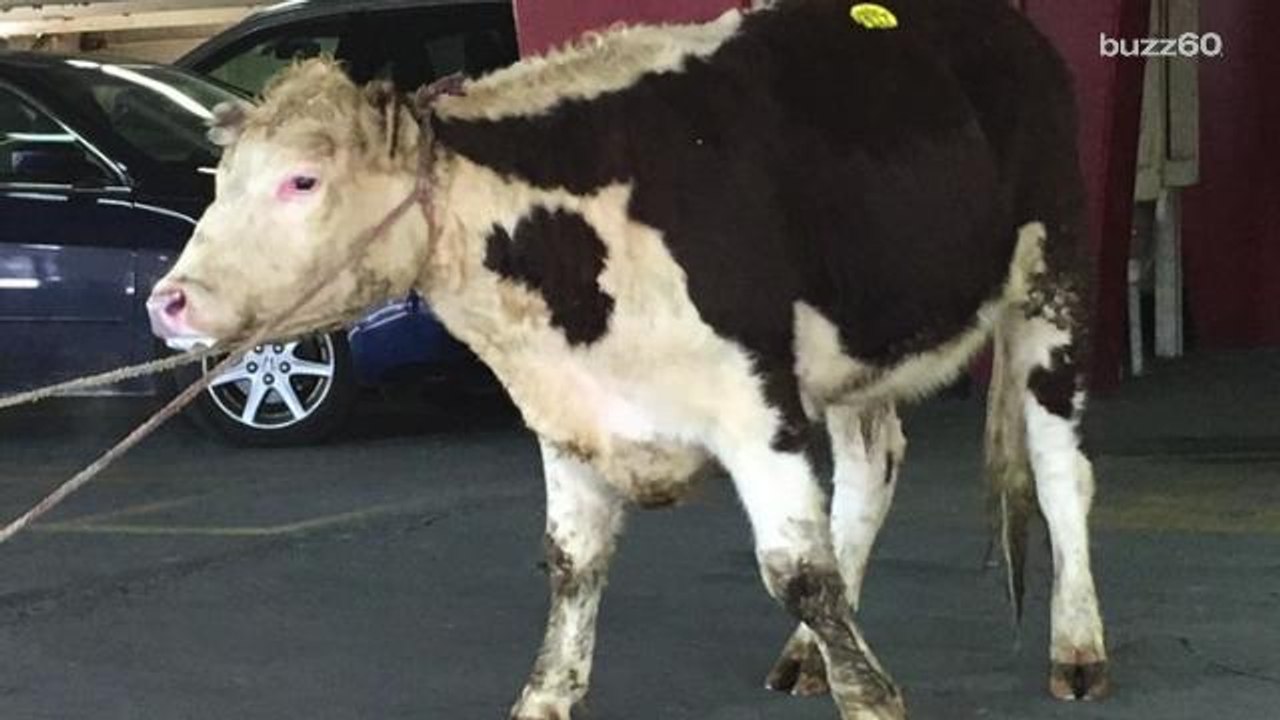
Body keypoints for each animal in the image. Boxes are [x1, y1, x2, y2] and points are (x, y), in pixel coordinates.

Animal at [146, 0, 1108, 717]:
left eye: (302, 181)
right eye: (220, 181)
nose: (169, 301)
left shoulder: (759, 408)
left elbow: (800, 574)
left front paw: (870, 697)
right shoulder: (567, 414)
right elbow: (572, 566)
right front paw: (544, 698)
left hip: (1052, 279)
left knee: (1061, 470)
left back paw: (1077, 648)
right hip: (859, 341)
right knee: (874, 470)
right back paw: (809, 659)